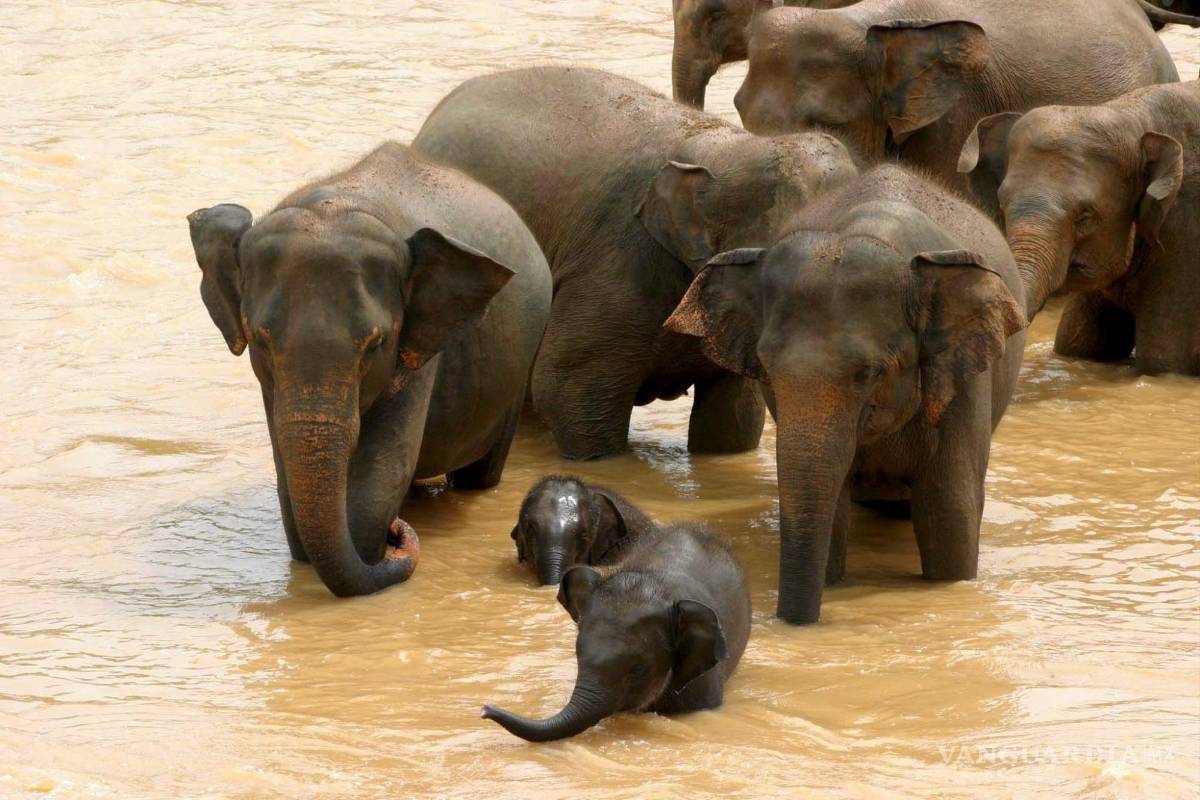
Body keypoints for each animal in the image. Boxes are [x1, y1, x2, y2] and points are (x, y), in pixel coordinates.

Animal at [187, 142, 552, 597]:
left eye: (376, 344)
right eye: (260, 340)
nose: (399, 535)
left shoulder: (418, 346)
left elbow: (384, 470)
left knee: (479, 473)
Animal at [666, 164, 1027, 624]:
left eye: (869, 372)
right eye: (765, 370)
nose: (786, 622)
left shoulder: (960, 386)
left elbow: (949, 512)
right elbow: (831, 504)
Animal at [958, 80, 1200, 376]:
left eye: (1085, 216)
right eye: (1002, 204)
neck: (1134, 116)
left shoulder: (1187, 239)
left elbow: (1165, 359)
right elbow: (1075, 344)